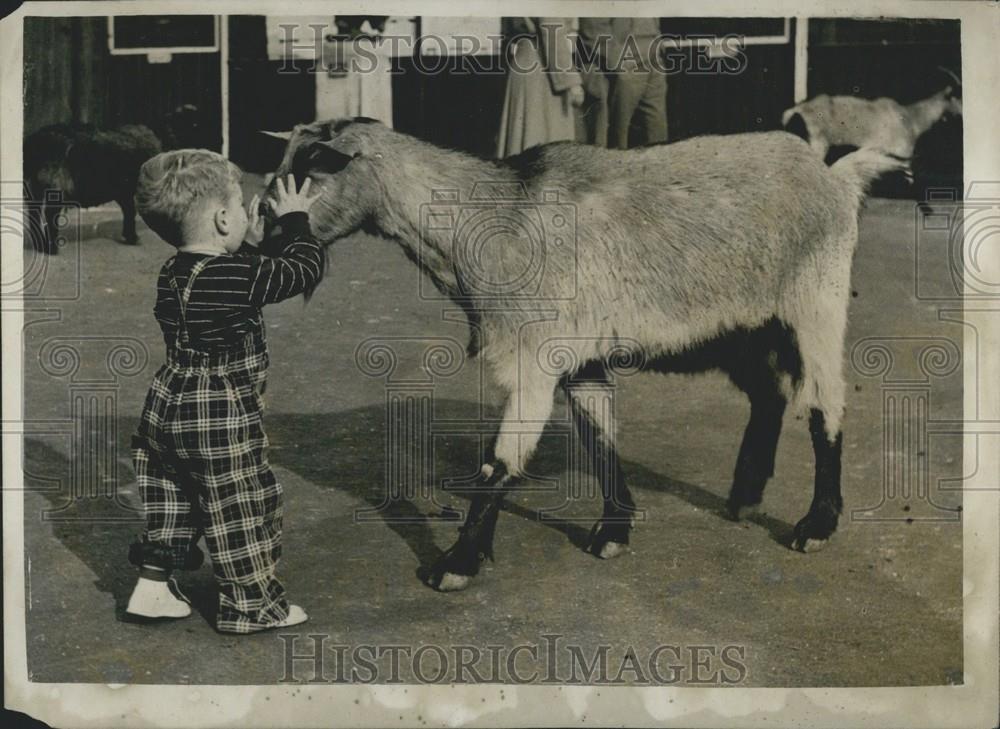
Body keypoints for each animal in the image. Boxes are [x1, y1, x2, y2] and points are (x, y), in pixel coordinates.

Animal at [264, 115, 908, 592]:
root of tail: (834, 177)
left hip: (814, 303)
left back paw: (815, 524)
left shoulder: (533, 355)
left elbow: (498, 464)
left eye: (299, 184)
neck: (493, 217)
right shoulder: (579, 360)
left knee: (825, 406)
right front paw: (613, 531)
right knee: (769, 394)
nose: (262, 244)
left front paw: (457, 564)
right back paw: (745, 496)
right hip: (742, 326)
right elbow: (600, 442)